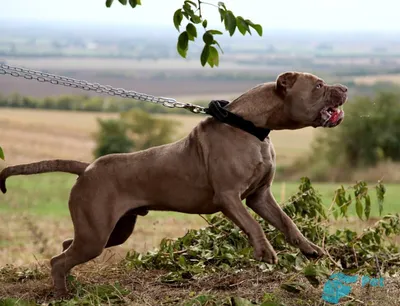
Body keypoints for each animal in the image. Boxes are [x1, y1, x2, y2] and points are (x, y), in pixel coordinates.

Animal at [0, 71, 346, 296]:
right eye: (318, 85)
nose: (343, 87)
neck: (250, 128)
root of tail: (86, 168)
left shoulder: (260, 197)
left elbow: (287, 222)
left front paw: (311, 249)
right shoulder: (230, 198)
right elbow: (255, 225)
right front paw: (266, 252)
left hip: (112, 231)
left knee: (65, 247)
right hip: (96, 234)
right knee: (59, 260)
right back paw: (62, 294)